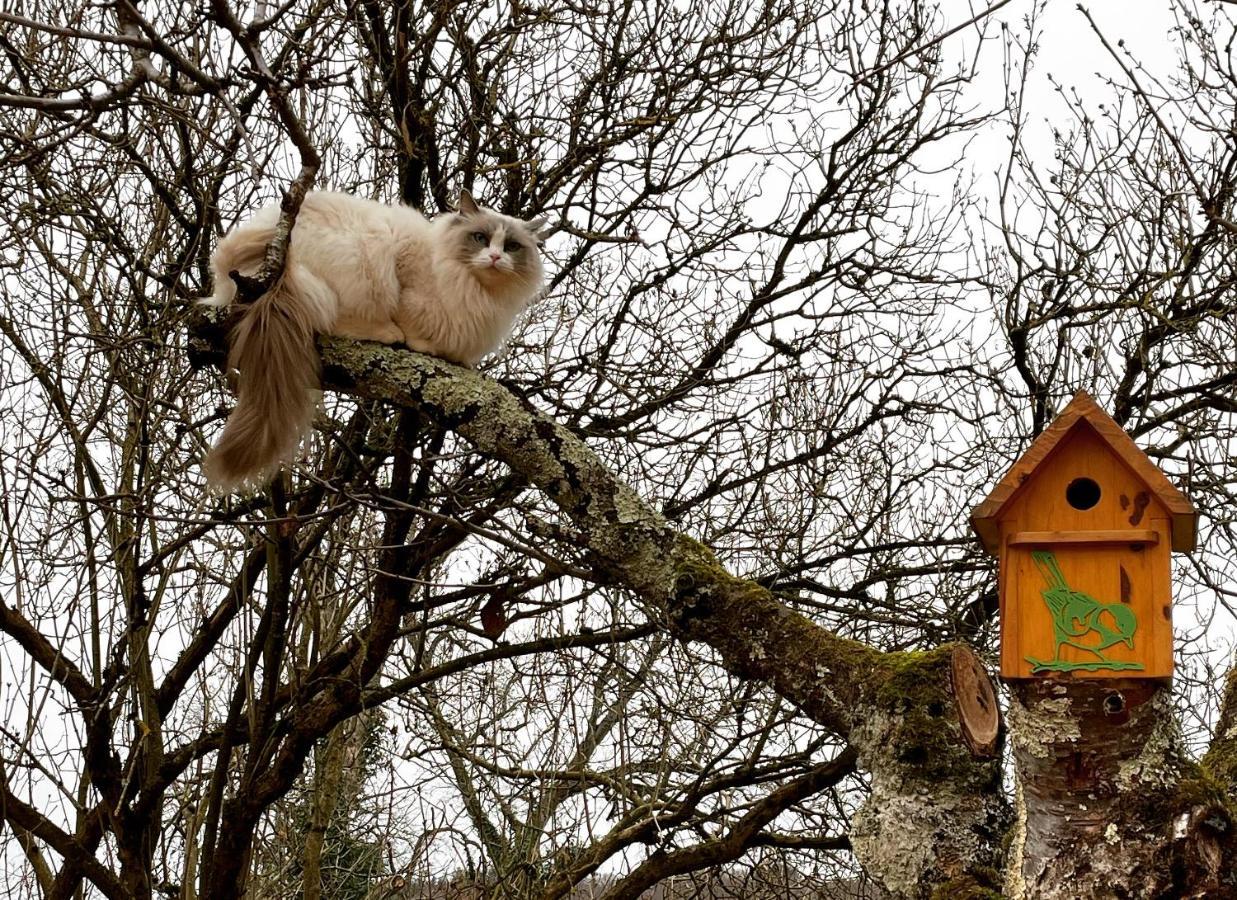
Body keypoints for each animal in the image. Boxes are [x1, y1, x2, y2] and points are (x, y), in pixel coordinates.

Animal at [199, 190, 546, 494]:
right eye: (480, 239)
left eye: (512, 246)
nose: (495, 257)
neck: (478, 293)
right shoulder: (405, 269)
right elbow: (411, 317)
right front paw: (420, 342)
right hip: (355, 264)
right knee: (337, 322)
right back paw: (389, 334)